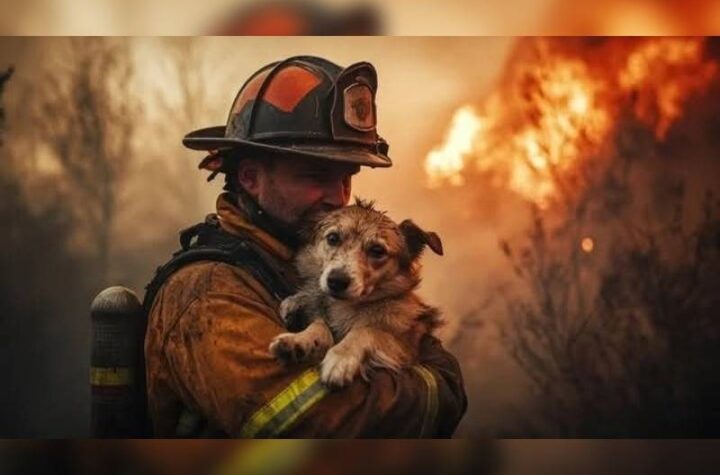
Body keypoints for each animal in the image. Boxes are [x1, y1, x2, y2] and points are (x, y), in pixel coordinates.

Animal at [268, 199, 442, 388]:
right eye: (333, 238)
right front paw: (298, 340)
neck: (345, 306)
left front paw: (341, 356)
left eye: (377, 250)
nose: (336, 281)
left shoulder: (406, 351)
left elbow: (367, 331)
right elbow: (319, 324)